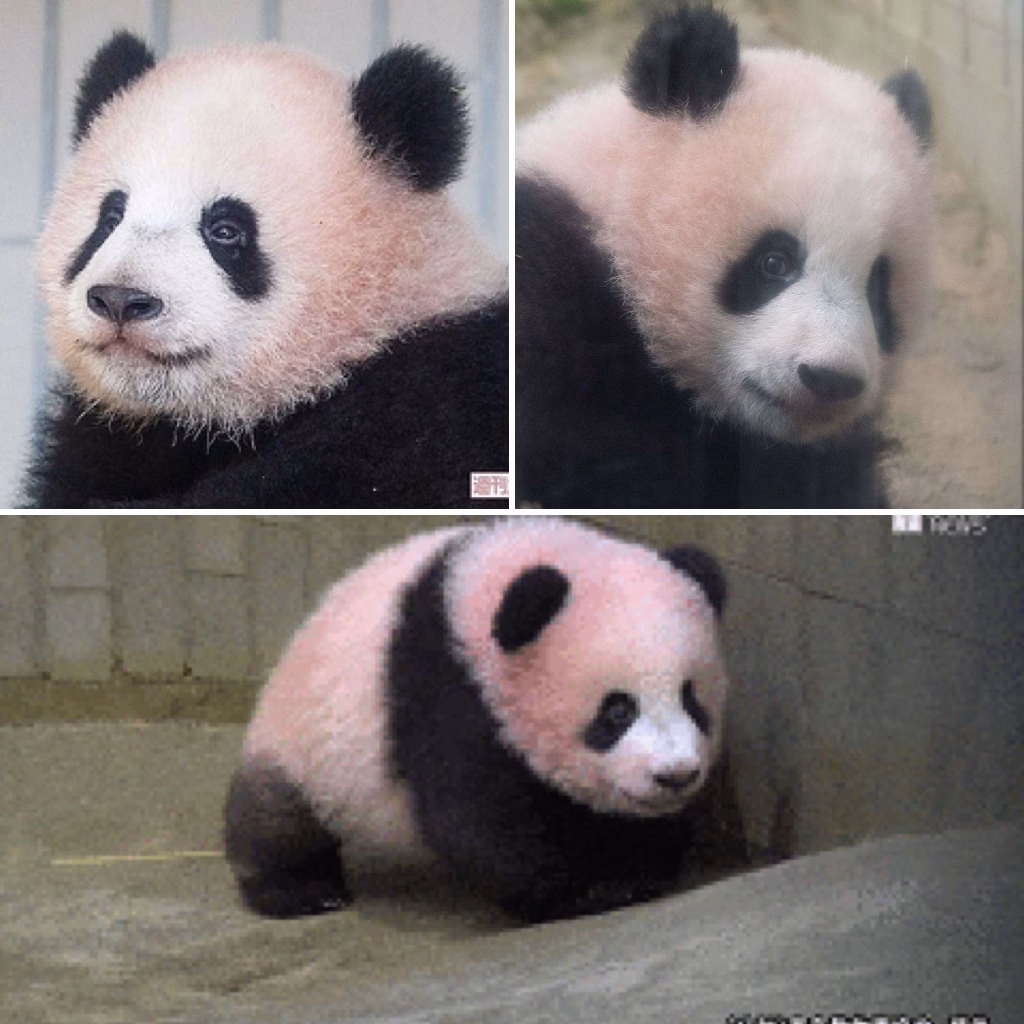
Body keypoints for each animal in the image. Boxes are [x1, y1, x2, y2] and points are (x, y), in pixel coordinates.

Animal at [224, 517, 742, 924]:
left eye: (692, 700)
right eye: (617, 711)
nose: (675, 775)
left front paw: (640, 862)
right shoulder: (448, 685)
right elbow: (480, 817)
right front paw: (583, 890)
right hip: (301, 743)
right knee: (280, 821)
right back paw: (302, 892)